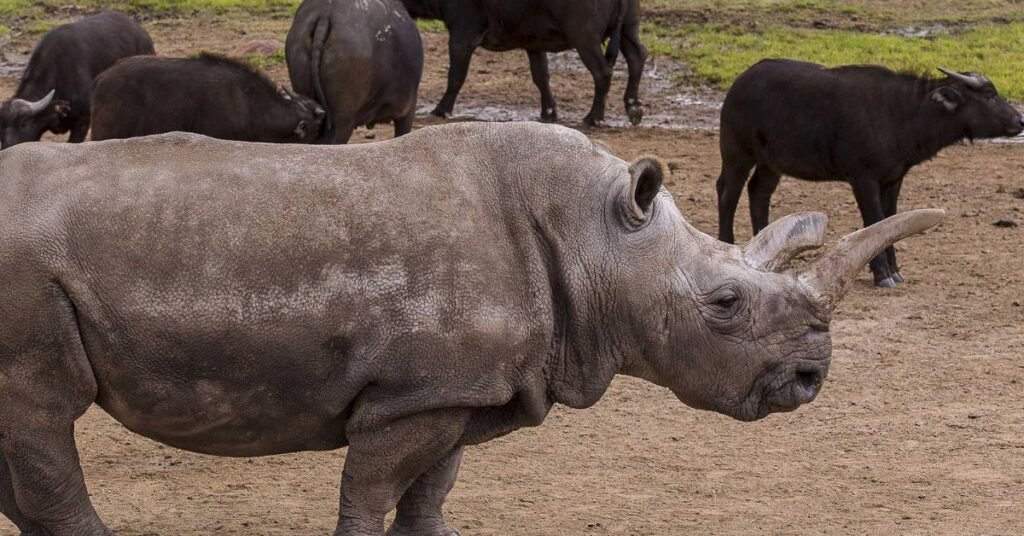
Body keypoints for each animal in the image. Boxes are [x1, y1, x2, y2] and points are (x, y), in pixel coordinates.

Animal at [0, 122, 941, 536]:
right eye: (723, 305)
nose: (811, 378)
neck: (601, 239)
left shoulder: (459, 387)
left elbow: (430, 491)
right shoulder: (410, 394)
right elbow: (369, 493)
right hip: (27, 280)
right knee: (42, 411)